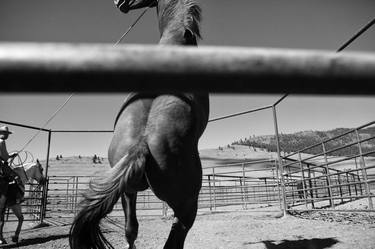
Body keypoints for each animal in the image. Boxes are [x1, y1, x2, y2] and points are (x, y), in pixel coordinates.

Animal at [69, 0, 210, 249]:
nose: (118, 3)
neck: (176, 36)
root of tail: (142, 145)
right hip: (186, 206)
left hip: (128, 191)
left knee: (131, 230)